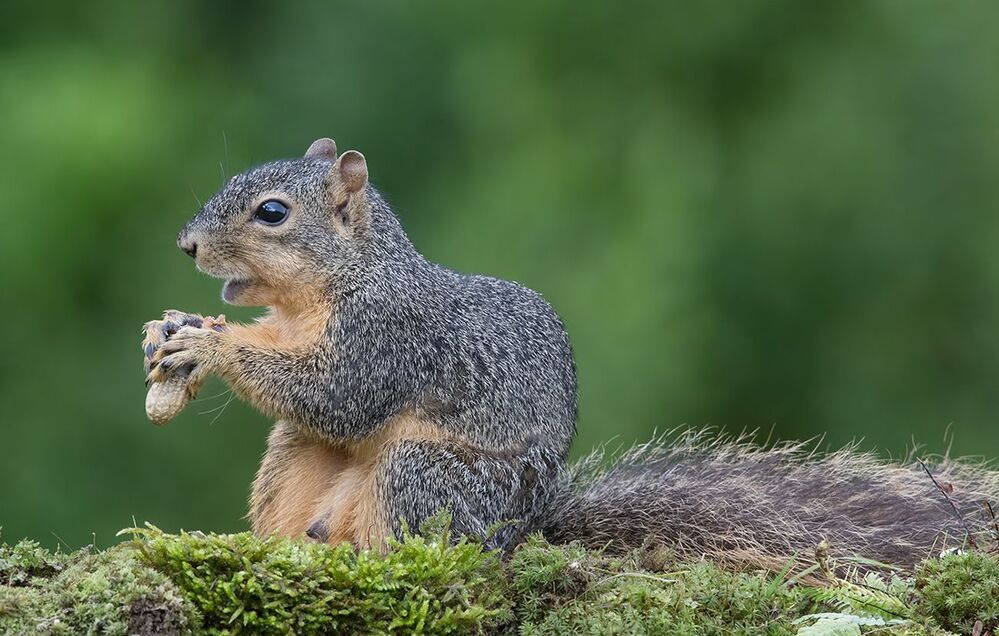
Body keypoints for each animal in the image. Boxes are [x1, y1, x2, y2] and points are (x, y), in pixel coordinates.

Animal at [144, 137, 999, 572]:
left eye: (272, 213)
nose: (184, 245)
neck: (331, 289)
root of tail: (522, 530)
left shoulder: (387, 337)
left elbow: (336, 394)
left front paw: (210, 343)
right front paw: (169, 330)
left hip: (433, 479)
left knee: (417, 542)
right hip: (297, 461)